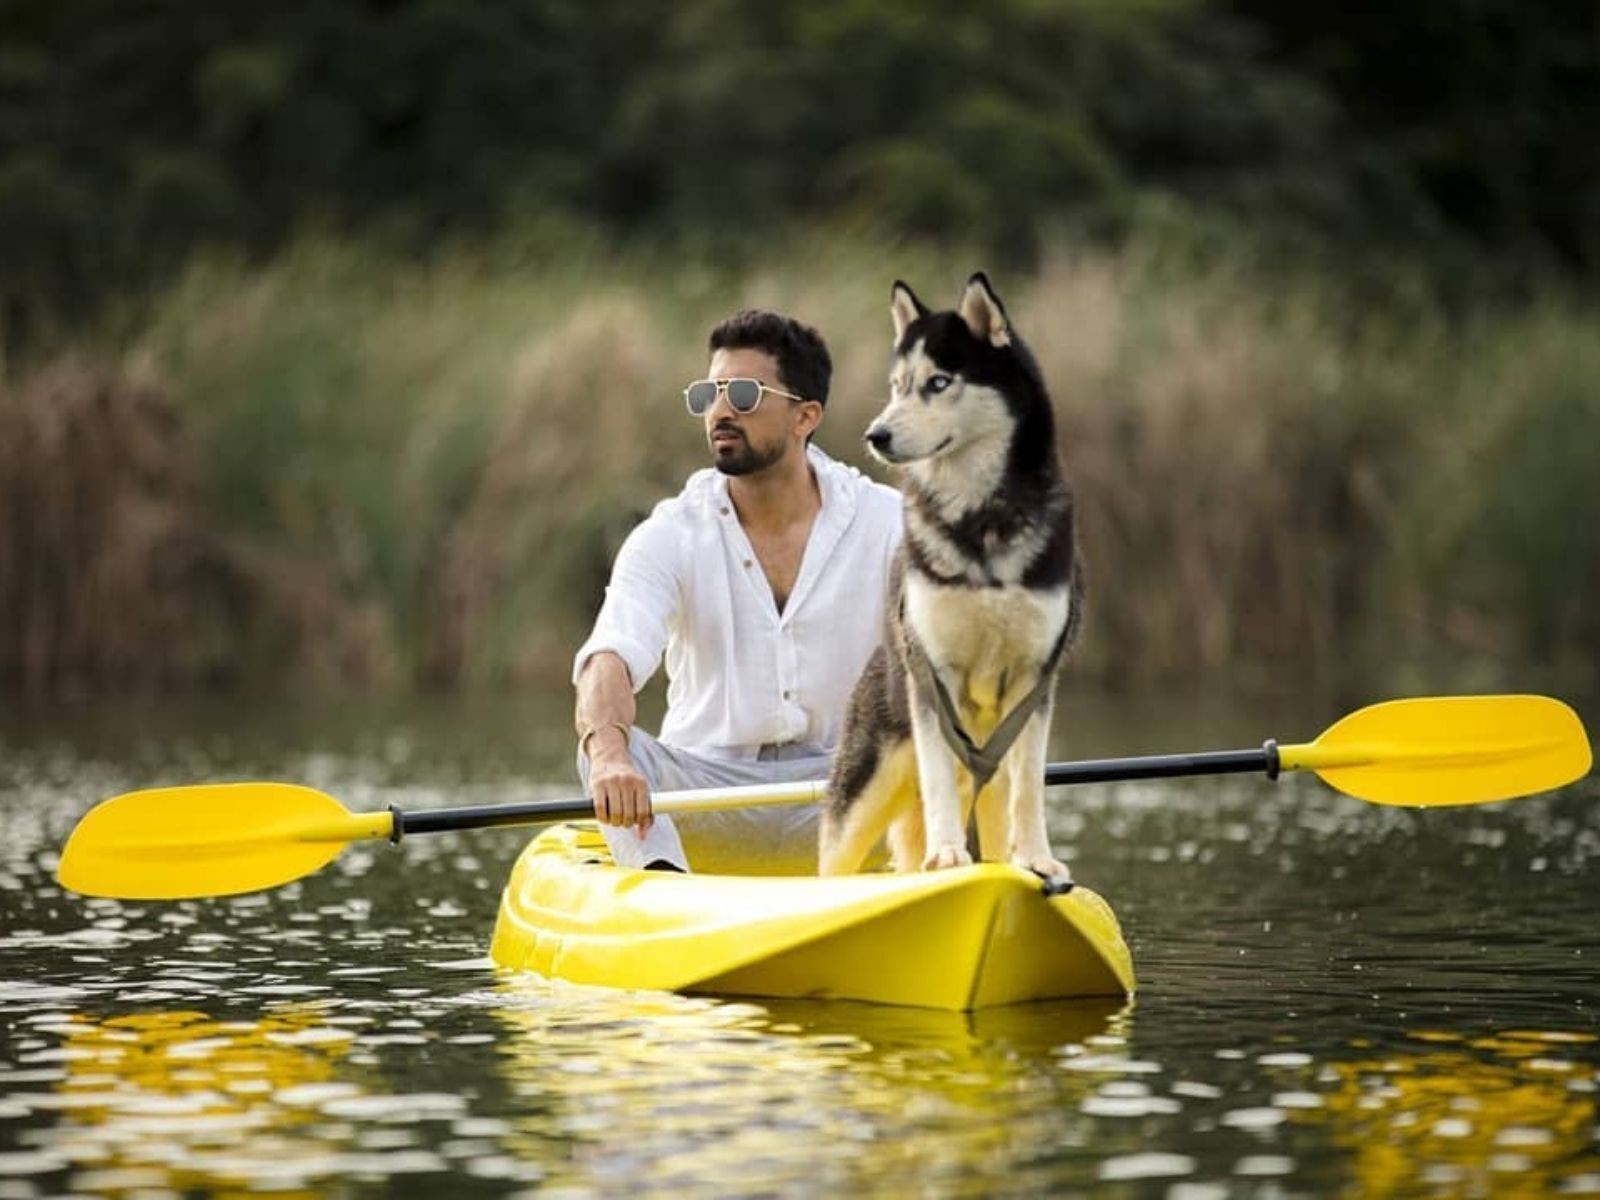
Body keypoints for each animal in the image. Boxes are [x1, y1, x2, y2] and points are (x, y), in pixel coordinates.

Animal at [819, 276, 1081, 889]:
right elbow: (938, 778)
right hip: (866, 786)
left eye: (938, 383)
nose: (876, 434)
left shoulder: (1036, 680)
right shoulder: (933, 677)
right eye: (896, 386)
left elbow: (1031, 785)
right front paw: (945, 855)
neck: (979, 523)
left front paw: (1037, 858)